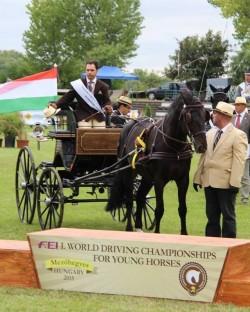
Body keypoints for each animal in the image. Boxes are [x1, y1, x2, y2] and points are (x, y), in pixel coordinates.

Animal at [106, 89, 208, 233]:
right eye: (188, 117)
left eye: (205, 116)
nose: (202, 146)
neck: (174, 148)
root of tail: (129, 124)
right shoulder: (159, 181)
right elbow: (160, 209)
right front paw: (157, 232)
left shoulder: (183, 180)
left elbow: (182, 209)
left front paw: (184, 233)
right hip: (129, 172)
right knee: (129, 199)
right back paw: (130, 227)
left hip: (147, 176)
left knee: (140, 196)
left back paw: (138, 226)